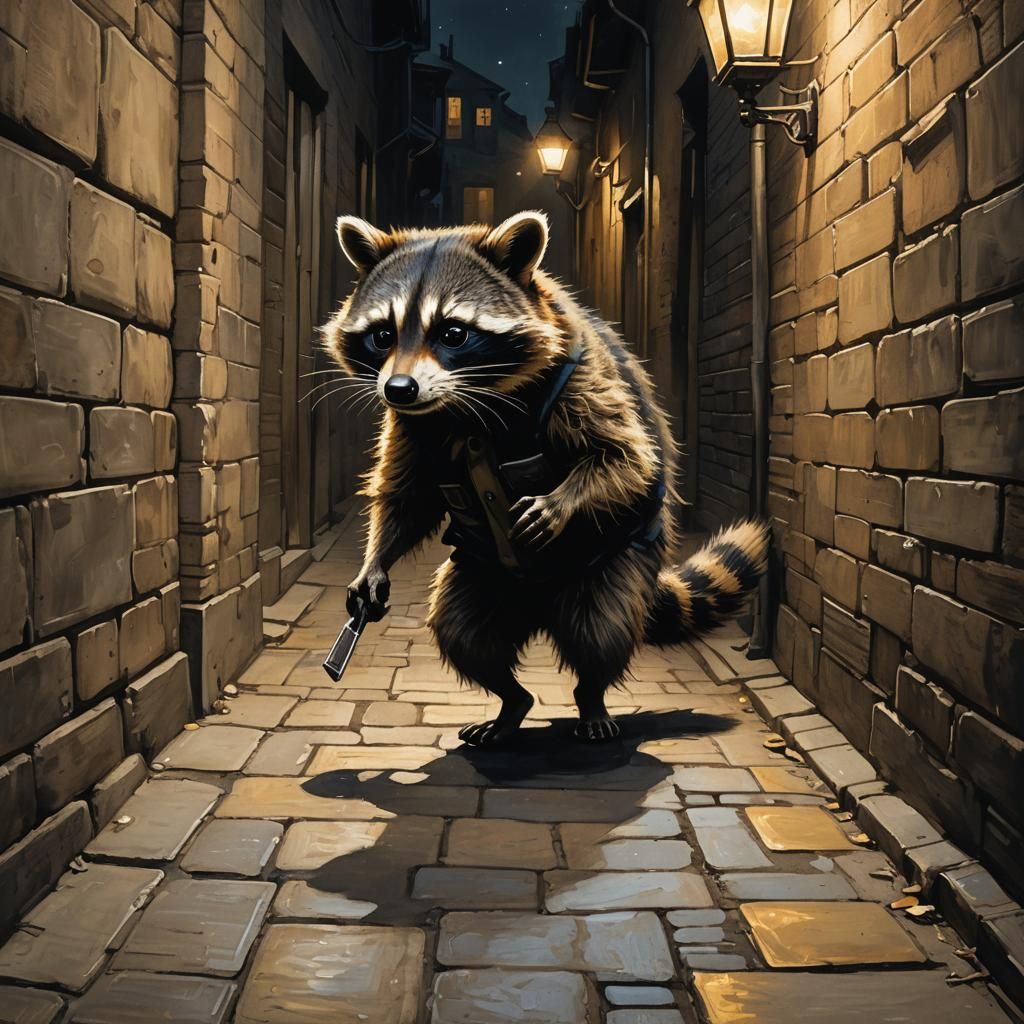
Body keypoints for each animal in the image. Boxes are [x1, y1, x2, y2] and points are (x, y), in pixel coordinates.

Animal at [322, 210, 769, 744]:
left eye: (453, 333)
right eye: (383, 335)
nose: (399, 388)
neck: (470, 402)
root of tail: (536, 606)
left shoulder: (578, 380)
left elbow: (626, 458)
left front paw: (563, 500)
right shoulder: (414, 424)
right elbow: (407, 497)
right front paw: (375, 561)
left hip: (611, 567)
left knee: (599, 630)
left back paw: (591, 698)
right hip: (480, 575)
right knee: (463, 634)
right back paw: (511, 701)